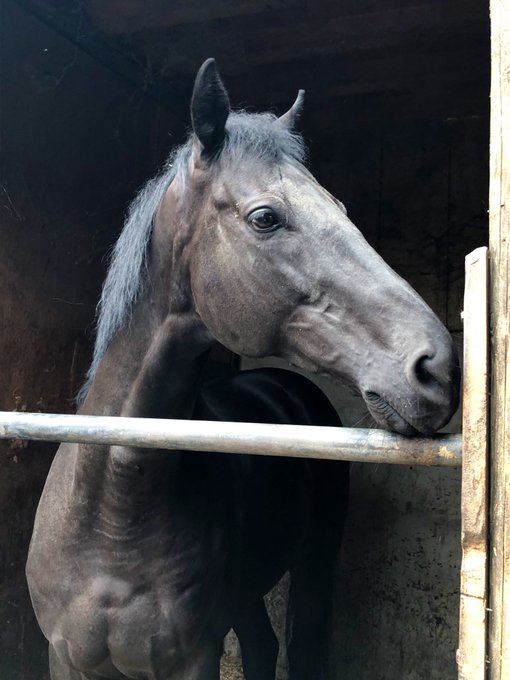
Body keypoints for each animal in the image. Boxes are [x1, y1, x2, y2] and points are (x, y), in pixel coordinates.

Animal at [26, 59, 460, 680]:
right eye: (266, 217)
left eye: (341, 209)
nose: (437, 367)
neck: (112, 516)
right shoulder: (66, 659)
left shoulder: (195, 658)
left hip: (314, 564)